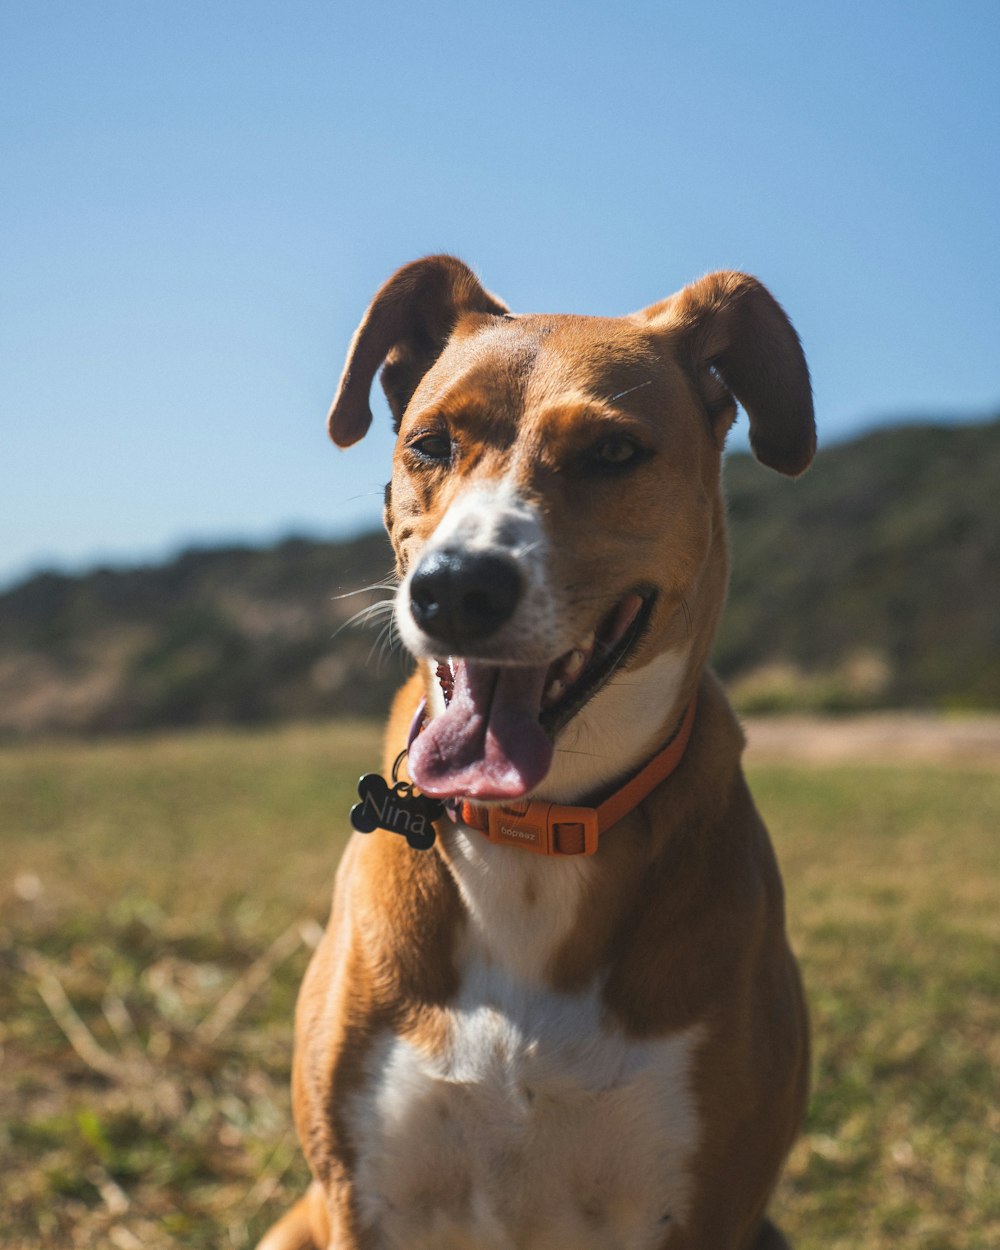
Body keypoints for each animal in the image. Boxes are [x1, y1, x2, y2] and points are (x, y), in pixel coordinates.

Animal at [257, 256, 810, 1250]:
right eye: (430, 444)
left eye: (613, 453)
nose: (455, 589)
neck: (531, 831)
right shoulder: (361, 1197)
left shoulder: (711, 1208)